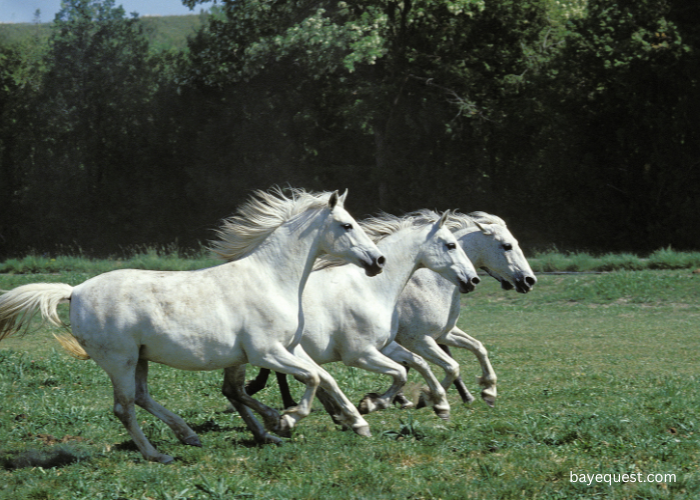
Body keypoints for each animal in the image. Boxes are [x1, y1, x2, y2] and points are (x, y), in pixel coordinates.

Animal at [0, 188, 382, 464]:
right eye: (347, 225)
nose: (378, 261)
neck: (272, 280)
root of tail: (75, 291)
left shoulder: (284, 349)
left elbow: (321, 377)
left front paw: (349, 422)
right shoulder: (266, 353)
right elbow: (313, 378)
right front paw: (287, 419)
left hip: (139, 358)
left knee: (141, 397)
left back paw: (188, 435)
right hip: (120, 360)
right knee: (124, 407)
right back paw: (158, 454)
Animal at [246, 209, 482, 420]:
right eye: (451, 245)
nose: (472, 280)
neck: (370, 288)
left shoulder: (387, 346)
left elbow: (418, 365)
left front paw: (439, 404)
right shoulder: (362, 354)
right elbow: (403, 372)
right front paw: (372, 403)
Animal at [394, 209, 536, 408]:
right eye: (507, 246)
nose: (529, 280)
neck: (429, 281)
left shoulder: (444, 333)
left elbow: (477, 347)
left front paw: (488, 390)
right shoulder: (418, 339)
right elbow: (449, 366)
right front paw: (428, 398)